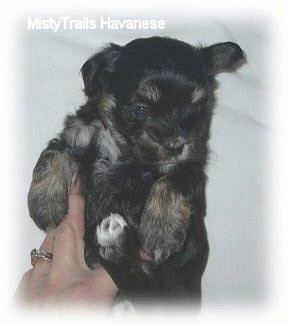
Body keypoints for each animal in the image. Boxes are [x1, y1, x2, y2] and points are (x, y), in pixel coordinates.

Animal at [27, 36, 244, 306]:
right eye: (141, 109)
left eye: (198, 108)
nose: (176, 146)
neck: (122, 149)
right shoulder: (75, 136)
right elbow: (51, 154)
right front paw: (45, 204)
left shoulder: (192, 167)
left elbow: (172, 180)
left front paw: (161, 230)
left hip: (173, 288)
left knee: (145, 285)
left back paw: (114, 245)